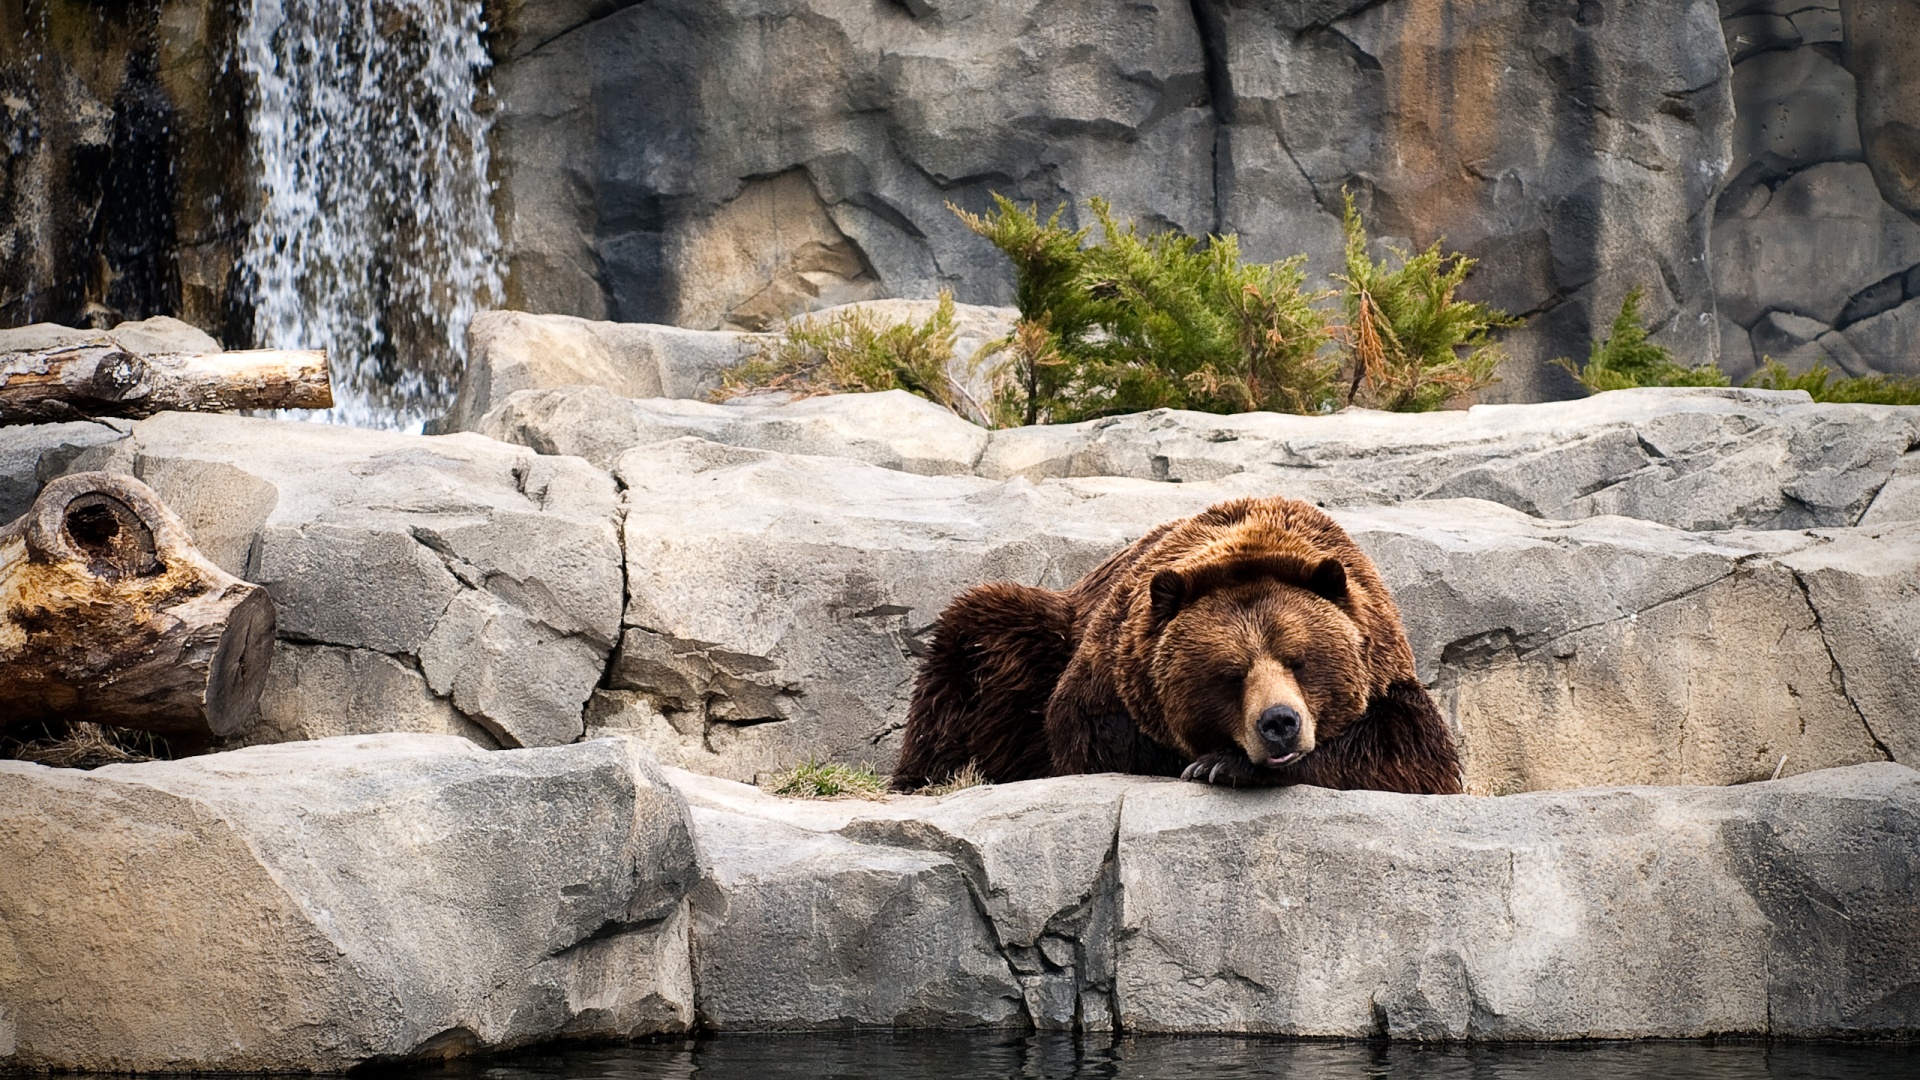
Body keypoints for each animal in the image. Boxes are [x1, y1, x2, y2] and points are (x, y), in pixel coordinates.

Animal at [890, 495, 1459, 791]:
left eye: (1298, 660)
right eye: (1231, 674)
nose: (1279, 723)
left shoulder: (1385, 668)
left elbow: (1411, 753)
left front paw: (1223, 764)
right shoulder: (1110, 667)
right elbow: (1090, 734)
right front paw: (1211, 760)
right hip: (1039, 637)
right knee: (976, 639)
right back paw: (923, 775)